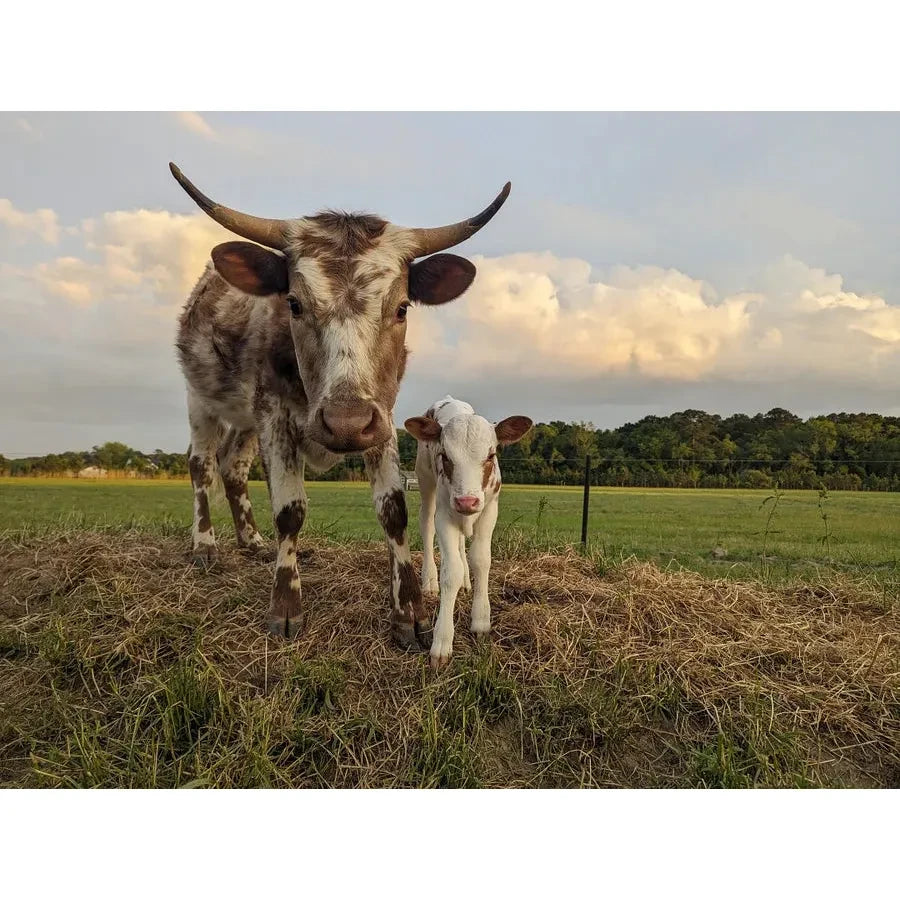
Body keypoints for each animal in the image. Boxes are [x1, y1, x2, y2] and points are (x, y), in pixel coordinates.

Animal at [169, 163, 511, 651]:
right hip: (201, 399)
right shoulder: (274, 413)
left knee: (232, 465)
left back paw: (252, 541)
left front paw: (408, 612)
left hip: (247, 420)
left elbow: (393, 508)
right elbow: (289, 508)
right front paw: (286, 607)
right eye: (293, 303)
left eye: (402, 307)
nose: (345, 423)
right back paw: (205, 545)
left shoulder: (380, 417)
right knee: (201, 464)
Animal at [404, 396, 532, 666]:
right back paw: (429, 580)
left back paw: (465, 580)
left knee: (462, 542)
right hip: (425, 481)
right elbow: (449, 571)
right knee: (426, 524)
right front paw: (442, 641)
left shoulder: (489, 509)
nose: (467, 501)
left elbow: (481, 560)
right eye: (445, 455)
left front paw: (481, 620)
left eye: (491, 455)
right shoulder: (445, 513)